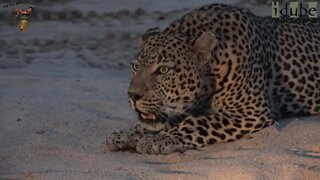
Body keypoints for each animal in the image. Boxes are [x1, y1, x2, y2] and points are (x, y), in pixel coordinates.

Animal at [106, 3, 320, 155]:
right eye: (135, 66)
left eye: (164, 70)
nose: (132, 96)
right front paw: (124, 134)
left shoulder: (250, 111)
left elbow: (197, 122)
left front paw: (157, 139)